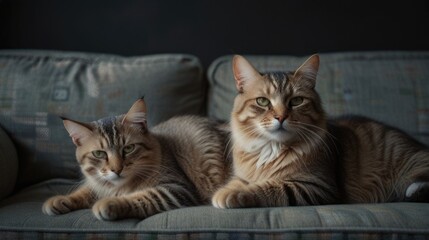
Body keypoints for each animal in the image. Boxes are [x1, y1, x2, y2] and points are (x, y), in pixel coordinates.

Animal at [42, 98, 229, 221]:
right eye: (99, 154)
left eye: (128, 148)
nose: (116, 169)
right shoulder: (98, 183)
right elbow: (84, 190)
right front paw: (60, 200)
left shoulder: (177, 188)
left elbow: (141, 196)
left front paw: (109, 203)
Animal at [211, 54, 428, 208]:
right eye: (263, 102)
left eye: (296, 101)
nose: (281, 117)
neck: (271, 148)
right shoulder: (243, 175)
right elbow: (237, 182)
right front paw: (220, 193)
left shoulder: (316, 185)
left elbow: (267, 188)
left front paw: (229, 195)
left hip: (410, 160)